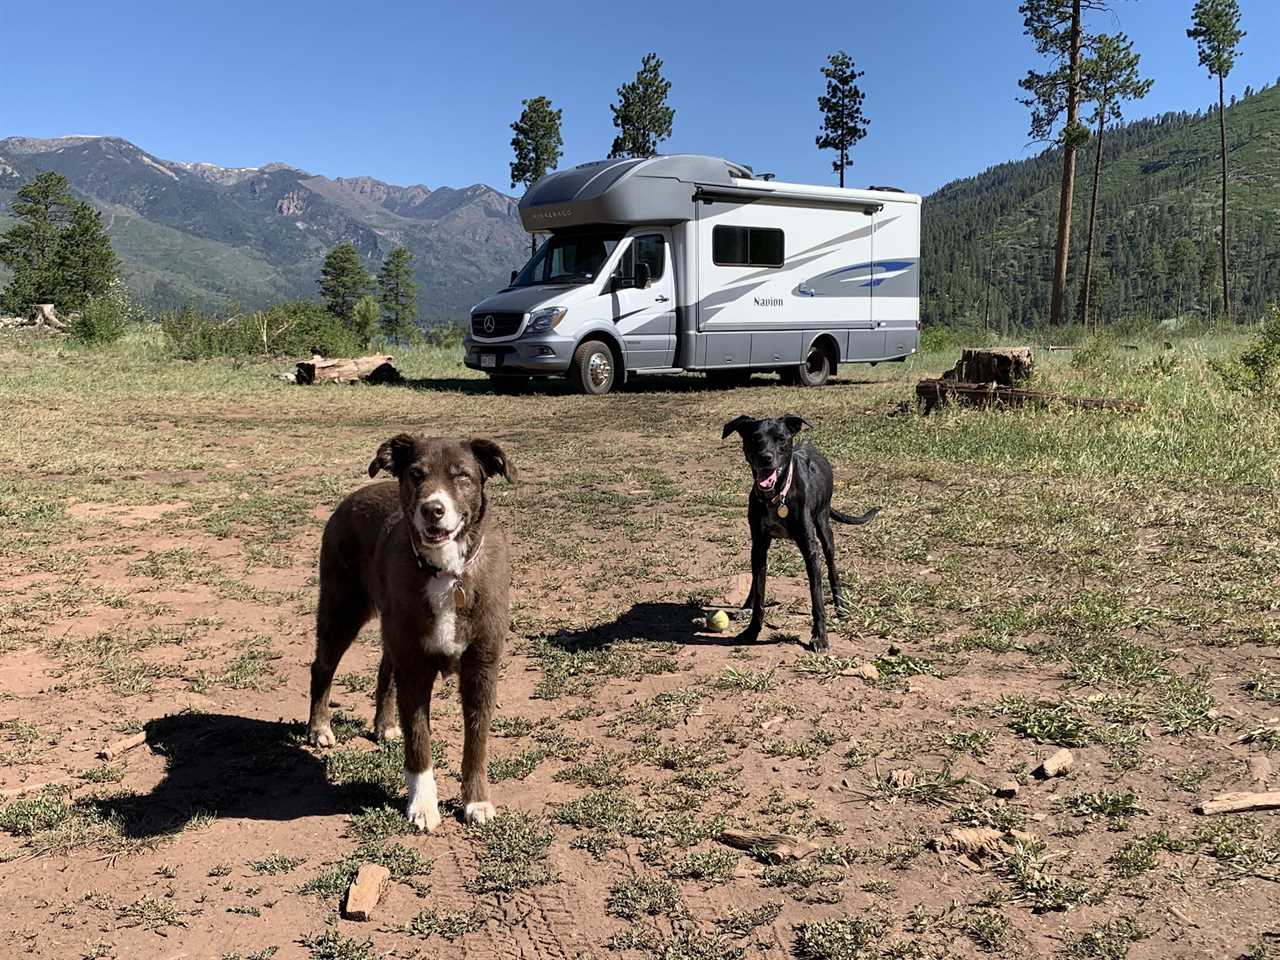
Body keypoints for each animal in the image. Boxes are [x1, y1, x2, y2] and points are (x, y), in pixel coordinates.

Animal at [307, 435, 512, 834]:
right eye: (416, 474)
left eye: (462, 475)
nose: (433, 509)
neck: (447, 573)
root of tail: (353, 496)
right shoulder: (415, 668)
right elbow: (419, 743)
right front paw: (423, 805)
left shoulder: (482, 666)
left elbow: (476, 743)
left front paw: (476, 801)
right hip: (343, 609)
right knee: (322, 667)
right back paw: (319, 727)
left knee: (385, 668)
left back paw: (385, 725)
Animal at [727, 414, 875, 655]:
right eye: (754, 438)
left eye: (781, 439)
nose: (765, 458)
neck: (777, 497)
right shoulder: (759, 546)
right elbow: (760, 592)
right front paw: (751, 630)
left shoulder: (810, 549)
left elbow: (817, 599)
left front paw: (820, 638)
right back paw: (747, 605)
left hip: (824, 527)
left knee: (832, 569)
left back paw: (841, 607)